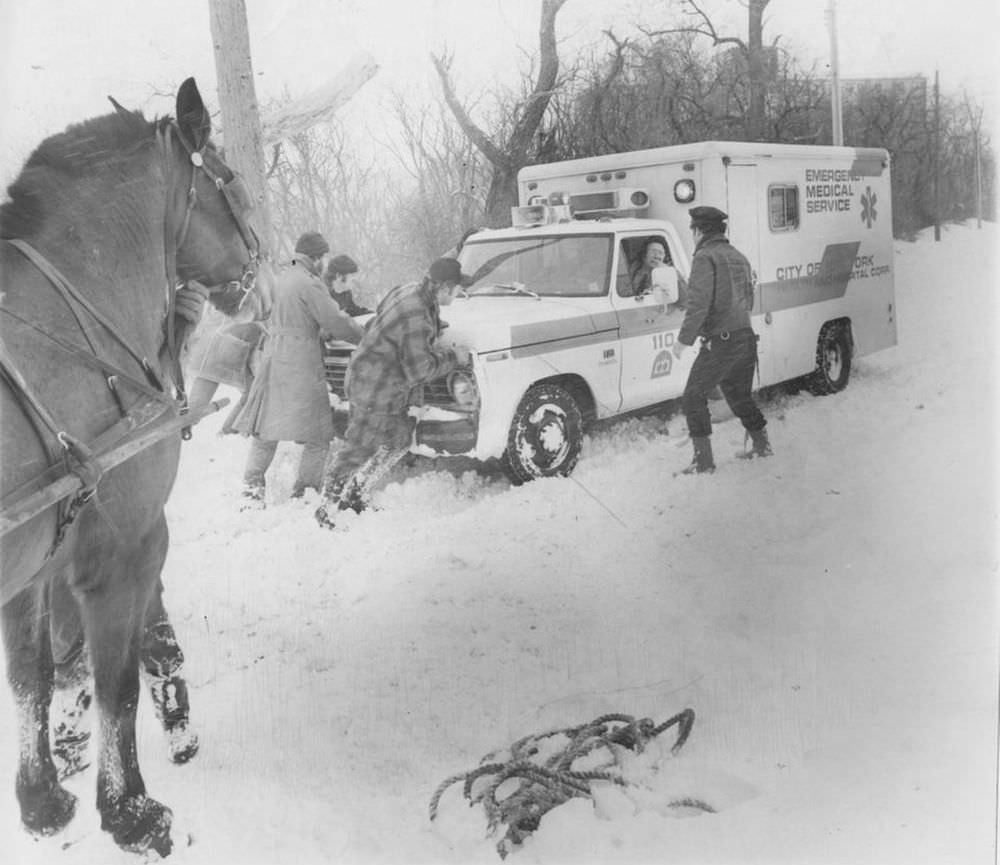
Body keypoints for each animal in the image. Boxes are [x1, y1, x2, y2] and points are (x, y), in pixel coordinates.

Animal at [0, 77, 262, 852]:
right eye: (230, 179)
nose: (259, 266)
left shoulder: (36, 567)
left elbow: (31, 676)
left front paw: (41, 799)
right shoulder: (126, 546)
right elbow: (117, 681)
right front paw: (132, 811)